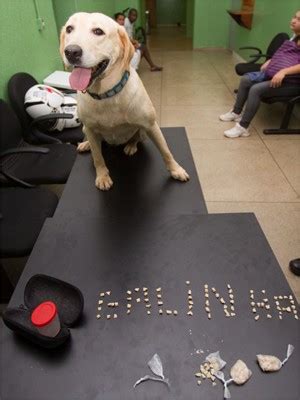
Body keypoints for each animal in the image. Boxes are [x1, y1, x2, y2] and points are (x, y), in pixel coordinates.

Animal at [59, 13, 189, 191]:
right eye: (69, 29)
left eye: (98, 31)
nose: (71, 52)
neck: (106, 94)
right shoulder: (91, 130)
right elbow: (98, 157)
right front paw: (102, 176)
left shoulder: (151, 125)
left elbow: (165, 150)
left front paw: (176, 170)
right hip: (86, 129)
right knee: (93, 143)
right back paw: (86, 145)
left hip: (143, 130)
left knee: (136, 137)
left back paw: (131, 146)